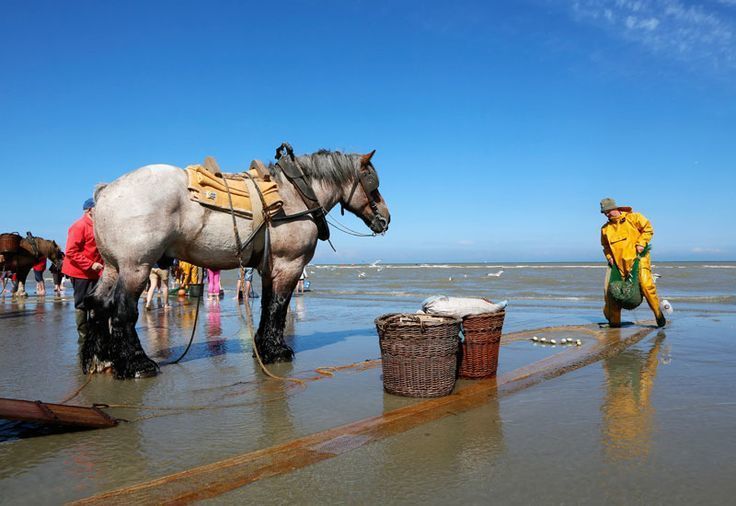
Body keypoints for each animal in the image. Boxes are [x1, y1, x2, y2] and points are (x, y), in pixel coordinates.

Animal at [87, 148, 392, 378]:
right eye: (373, 184)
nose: (386, 218)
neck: (296, 195)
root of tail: (106, 190)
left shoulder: (271, 268)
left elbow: (268, 306)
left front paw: (264, 347)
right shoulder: (290, 264)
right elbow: (279, 307)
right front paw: (277, 351)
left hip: (113, 267)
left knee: (98, 304)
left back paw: (102, 359)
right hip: (136, 266)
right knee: (122, 311)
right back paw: (137, 364)